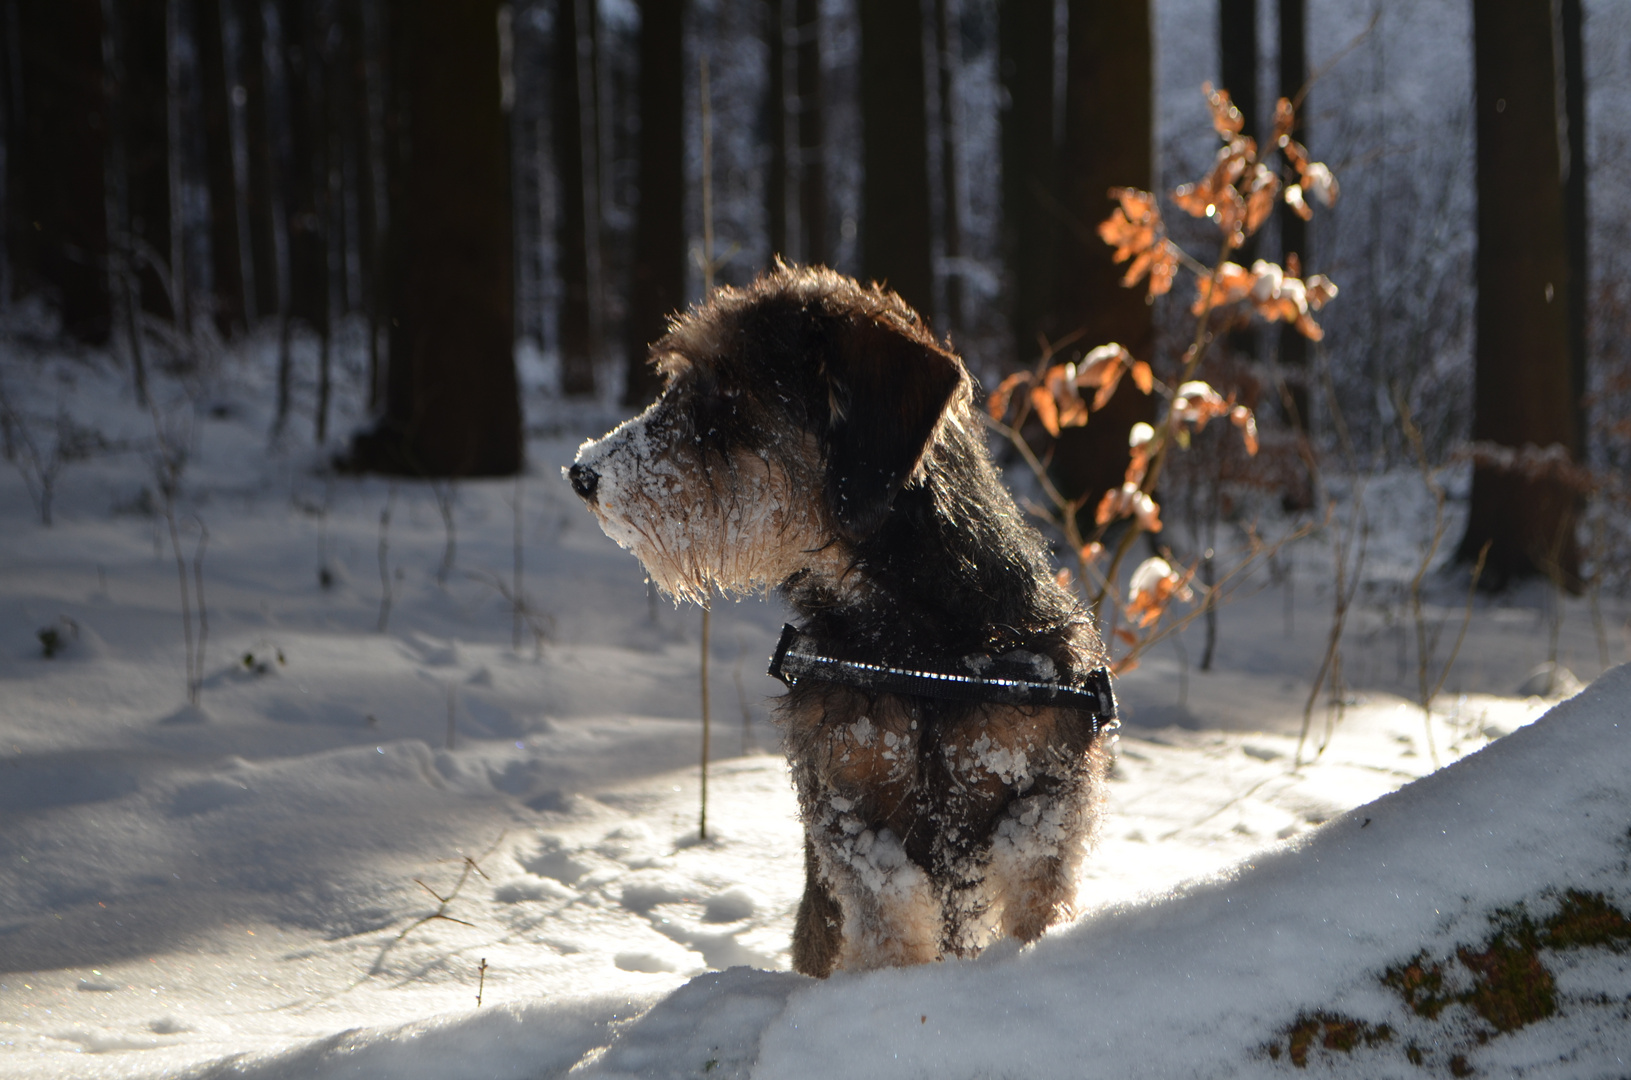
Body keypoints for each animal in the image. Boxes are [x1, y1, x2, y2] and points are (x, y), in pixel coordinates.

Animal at [567, 265, 1115, 978]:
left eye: (728, 396)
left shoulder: (1043, 792)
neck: (918, 650)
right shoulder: (849, 800)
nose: (583, 473)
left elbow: (1033, 893)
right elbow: (888, 916)